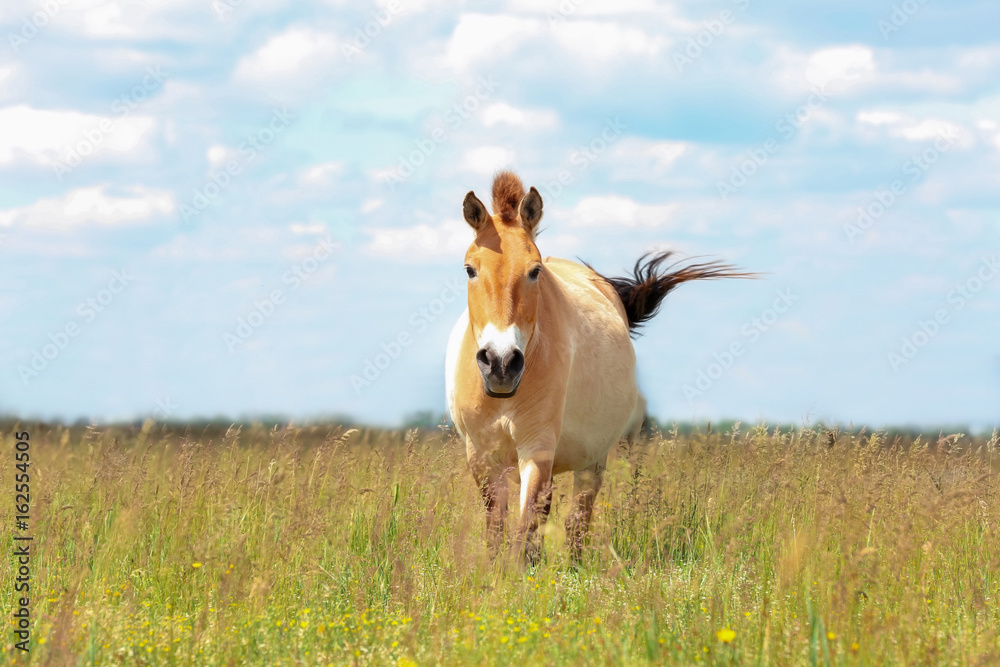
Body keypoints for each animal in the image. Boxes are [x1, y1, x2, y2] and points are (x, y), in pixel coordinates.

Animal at [445, 171, 750, 564]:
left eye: (534, 271)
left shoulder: (538, 450)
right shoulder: (480, 457)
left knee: (577, 521)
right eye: (470, 270)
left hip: (594, 460)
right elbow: (497, 529)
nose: (501, 363)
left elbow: (527, 530)